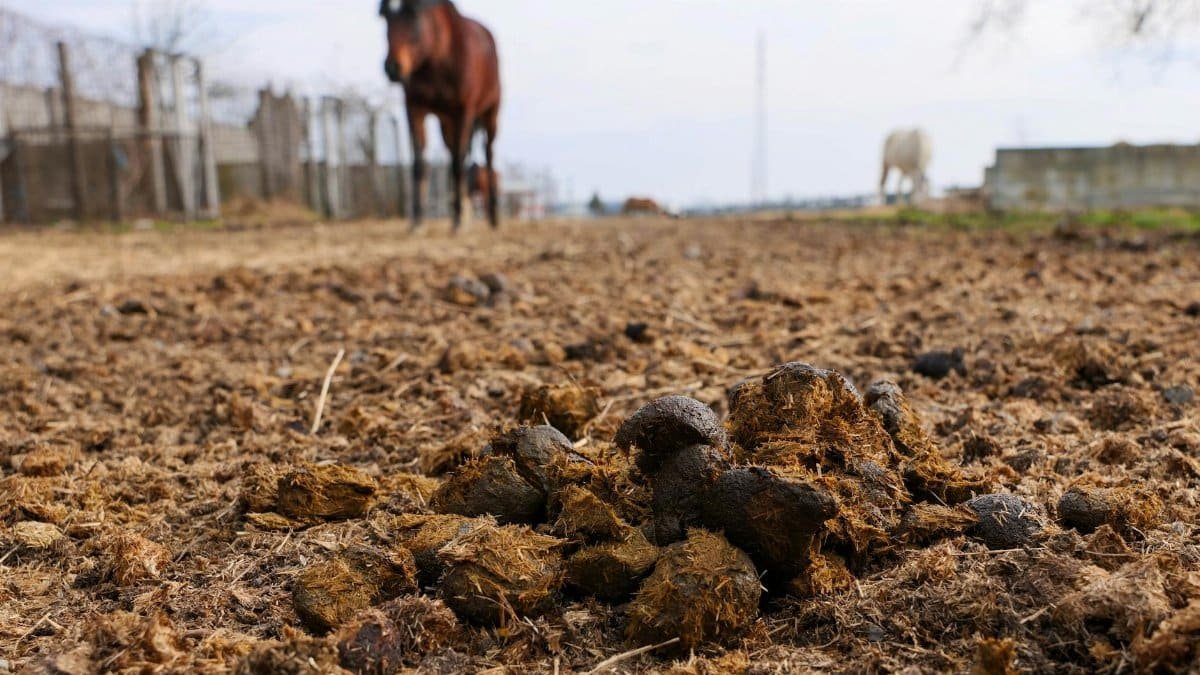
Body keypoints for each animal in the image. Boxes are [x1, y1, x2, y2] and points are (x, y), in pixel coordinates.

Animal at [380, 0, 501, 230]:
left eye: (414, 18)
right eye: (386, 20)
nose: (393, 68)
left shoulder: (464, 110)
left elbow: (457, 163)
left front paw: (458, 220)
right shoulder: (414, 108)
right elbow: (419, 162)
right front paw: (417, 220)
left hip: (491, 113)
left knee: (488, 154)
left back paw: (491, 216)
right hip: (447, 122)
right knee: (456, 152)